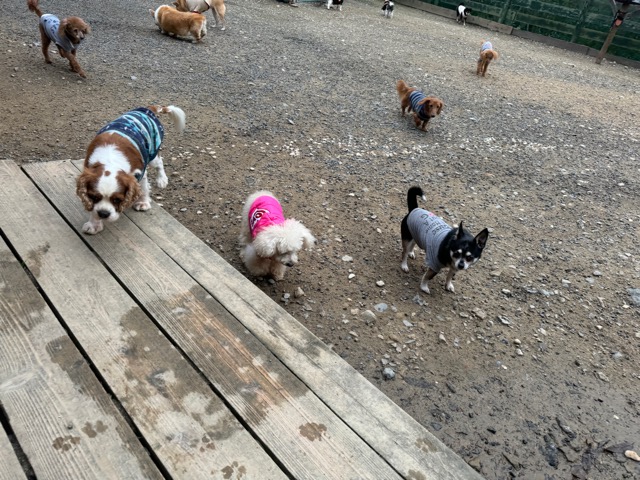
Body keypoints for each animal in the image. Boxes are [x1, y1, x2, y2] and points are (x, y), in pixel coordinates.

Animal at [76, 105, 186, 235]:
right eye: (94, 197)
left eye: (117, 199)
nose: (103, 213)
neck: (110, 161)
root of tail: (147, 109)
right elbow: (93, 209)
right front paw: (94, 224)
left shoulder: (140, 173)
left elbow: (143, 189)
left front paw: (143, 202)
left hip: (152, 153)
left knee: (159, 162)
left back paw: (162, 180)